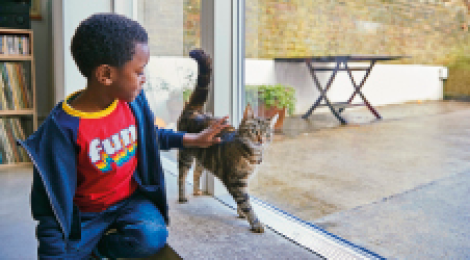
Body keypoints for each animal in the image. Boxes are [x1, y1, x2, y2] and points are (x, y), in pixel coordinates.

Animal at [178, 49, 278, 233]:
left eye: (267, 134)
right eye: (254, 131)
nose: (261, 140)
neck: (251, 155)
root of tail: (194, 111)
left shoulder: (244, 180)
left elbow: (242, 202)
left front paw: (241, 214)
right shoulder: (236, 181)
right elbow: (246, 203)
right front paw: (255, 222)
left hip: (202, 157)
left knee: (196, 172)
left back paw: (196, 191)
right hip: (185, 155)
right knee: (182, 176)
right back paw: (182, 197)